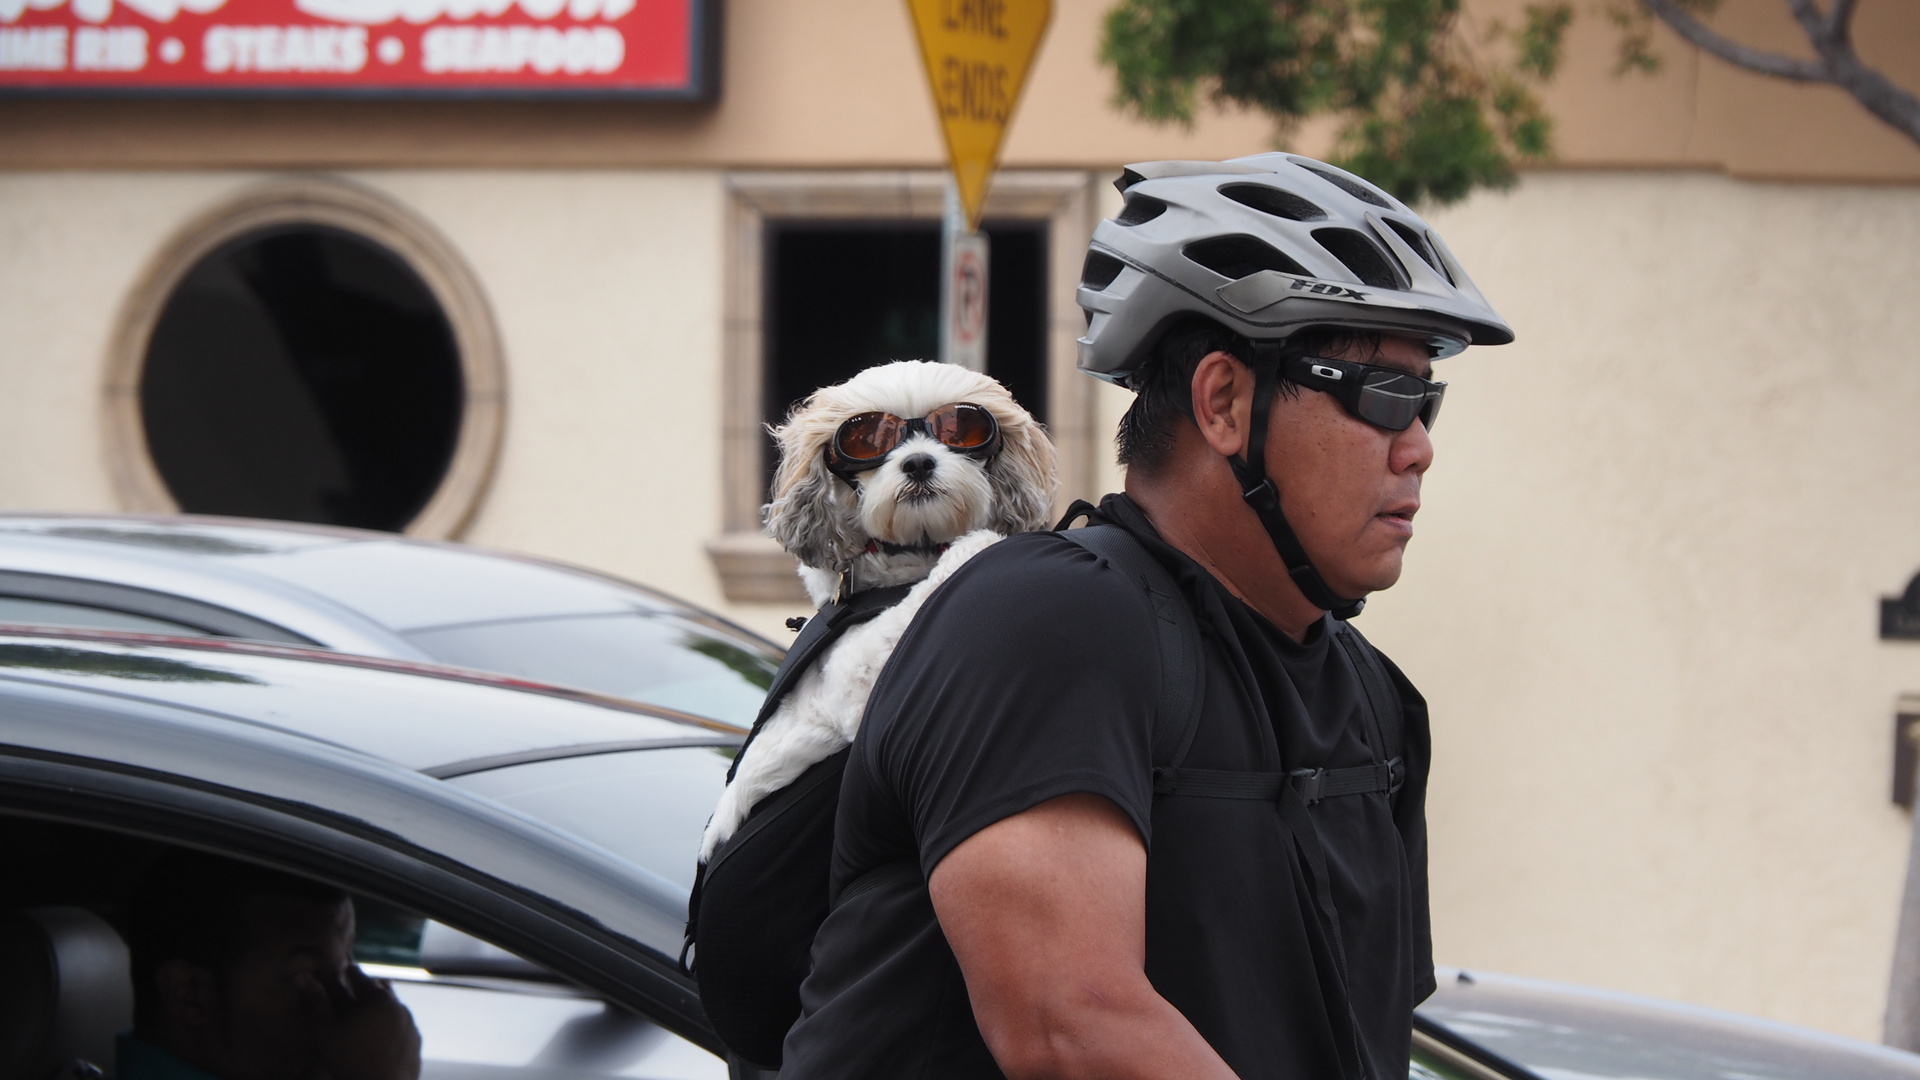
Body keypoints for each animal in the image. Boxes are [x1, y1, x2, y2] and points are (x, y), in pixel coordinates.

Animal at [702, 361, 1059, 857]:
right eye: (868, 439)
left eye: (959, 428)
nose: (919, 462)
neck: (911, 555)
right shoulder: (852, 680)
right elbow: (922, 599)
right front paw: (980, 546)